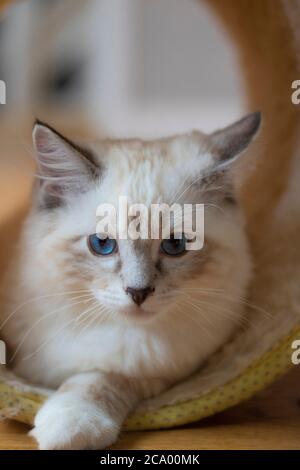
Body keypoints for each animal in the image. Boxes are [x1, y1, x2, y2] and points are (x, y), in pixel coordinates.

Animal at [1, 112, 260, 450]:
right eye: (101, 244)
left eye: (175, 244)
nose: (138, 292)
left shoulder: (153, 370)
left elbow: (96, 380)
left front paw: (71, 426)